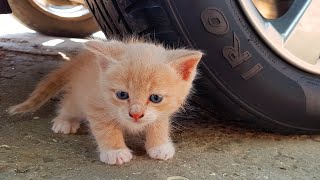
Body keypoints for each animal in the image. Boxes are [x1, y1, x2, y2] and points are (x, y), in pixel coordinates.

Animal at [8, 38, 202, 165]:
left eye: (155, 98)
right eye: (122, 95)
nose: (136, 114)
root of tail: (81, 58)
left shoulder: (161, 112)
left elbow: (159, 125)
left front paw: (160, 145)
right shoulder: (95, 105)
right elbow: (106, 130)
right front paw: (115, 152)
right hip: (79, 96)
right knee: (69, 103)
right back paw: (65, 120)